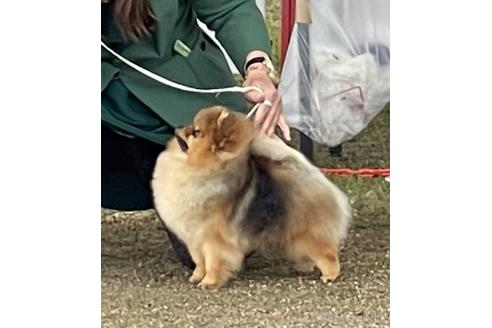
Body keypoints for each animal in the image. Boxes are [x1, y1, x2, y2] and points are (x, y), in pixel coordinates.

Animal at [152, 106, 352, 288]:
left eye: (196, 132)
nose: (178, 126)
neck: (198, 169)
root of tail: (306, 170)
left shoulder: (213, 238)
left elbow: (212, 262)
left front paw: (209, 281)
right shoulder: (194, 237)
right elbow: (199, 261)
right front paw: (196, 276)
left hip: (307, 229)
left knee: (326, 252)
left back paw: (329, 275)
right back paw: (304, 265)